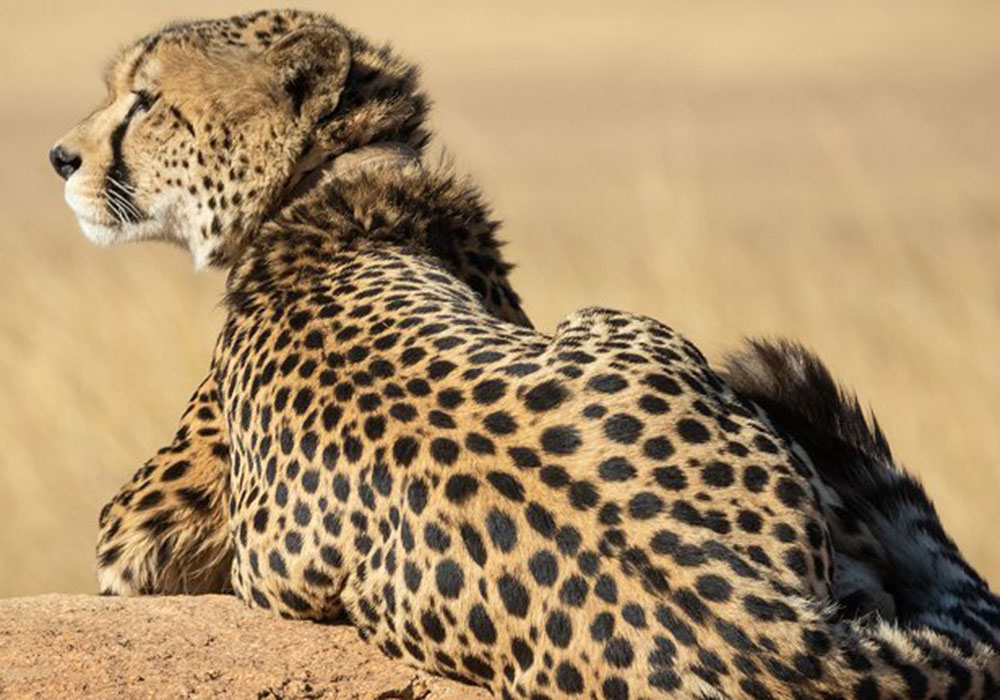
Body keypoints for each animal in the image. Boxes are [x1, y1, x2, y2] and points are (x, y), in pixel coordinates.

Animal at [52, 10, 1000, 700]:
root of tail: (767, 638)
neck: (331, 182)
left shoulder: (136, 531)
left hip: (615, 317)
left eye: (146, 102)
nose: (60, 156)